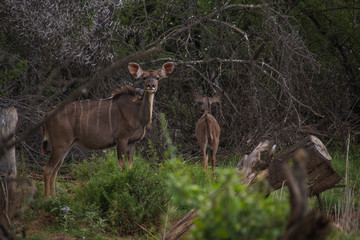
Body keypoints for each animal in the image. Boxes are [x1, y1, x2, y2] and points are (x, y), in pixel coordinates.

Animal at [40, 62, 174, 197]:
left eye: (157, 77)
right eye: (144, 77)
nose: (151, 86)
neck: (138, 114)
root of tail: (46, 115)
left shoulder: (132, 142)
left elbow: (130, 166)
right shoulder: (121, 138)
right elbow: (122, 166)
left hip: (67, 144)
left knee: (55, 170)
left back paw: (55, 198)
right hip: (61, 143)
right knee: (48, 168)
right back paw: (48, 199)